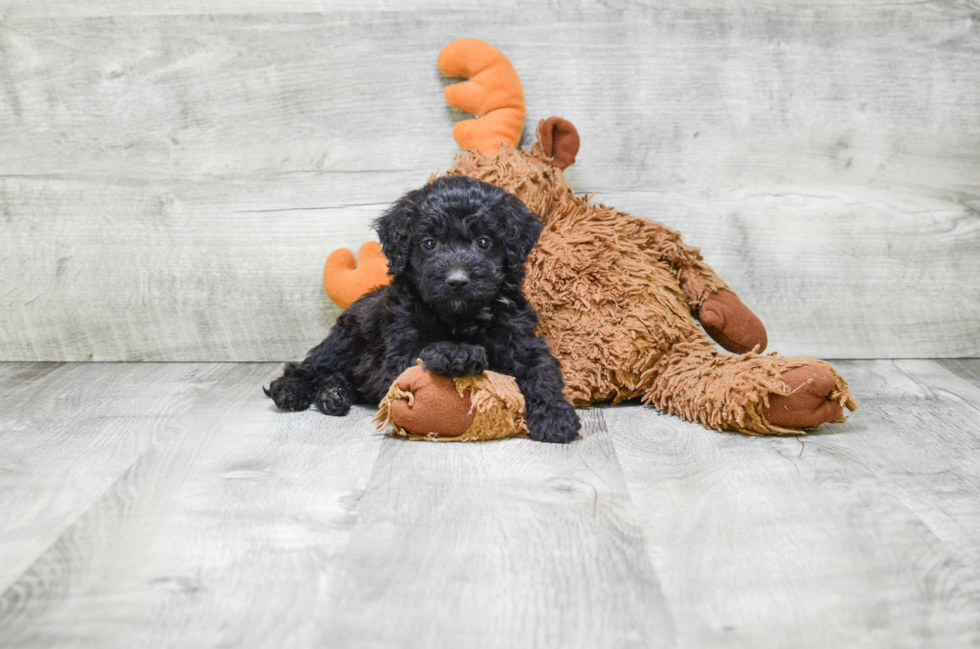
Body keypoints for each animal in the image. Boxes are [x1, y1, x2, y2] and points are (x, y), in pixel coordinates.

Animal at [262, 175, 580, 442]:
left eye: (484, 242)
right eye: (429, 244)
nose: (457, 280)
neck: (460, 316)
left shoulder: (521, 339)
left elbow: (541, 371)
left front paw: (555, 417)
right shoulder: (398, 350)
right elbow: (425, 349)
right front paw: (458, 352)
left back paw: (333, 394)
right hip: (342, 342)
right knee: (306, 367)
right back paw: (293, 390)